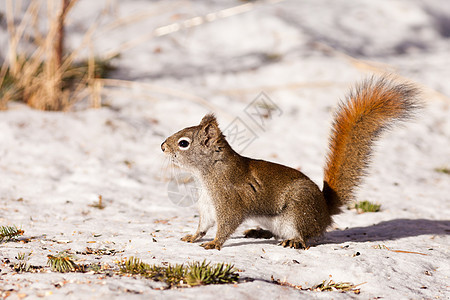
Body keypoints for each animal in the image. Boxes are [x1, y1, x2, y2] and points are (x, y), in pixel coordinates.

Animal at [160, 76, 420, 250]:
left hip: (298, 210)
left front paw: (214, 243)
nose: (162, 146)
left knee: (305, 237)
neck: (207, 175)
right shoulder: (207, 204)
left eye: (183, 143)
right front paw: (193, 236)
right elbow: (204, 223)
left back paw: (293, 241)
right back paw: (258, 232)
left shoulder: (230, 201)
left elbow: (227, 224)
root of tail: (325, 212)